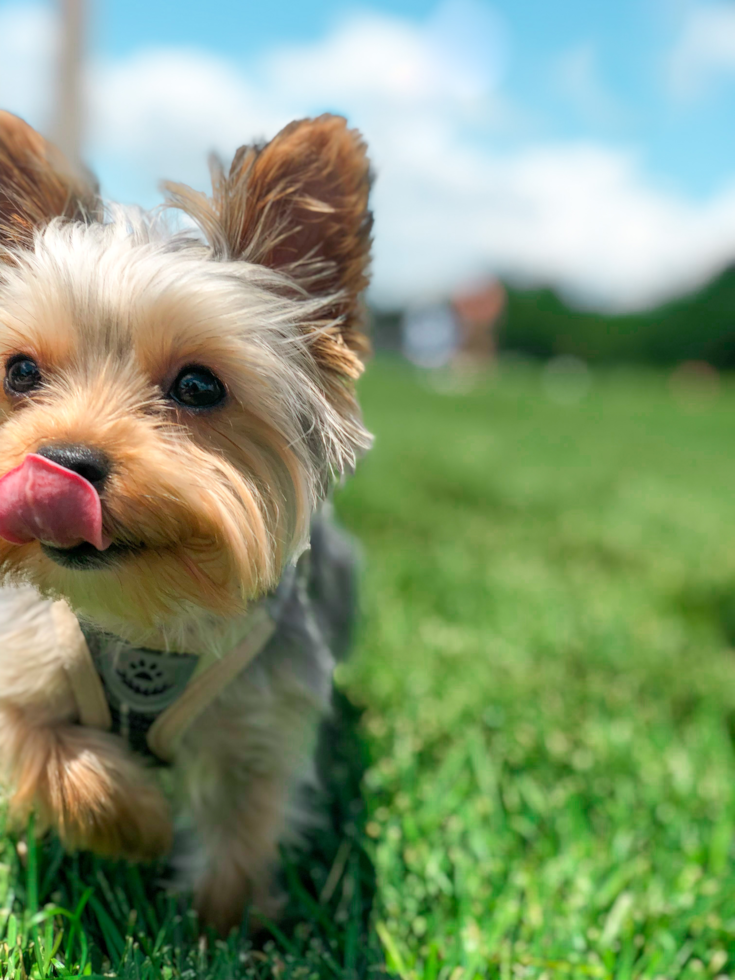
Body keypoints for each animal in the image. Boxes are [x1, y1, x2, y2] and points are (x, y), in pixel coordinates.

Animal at [0, 111, 374, 932]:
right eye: (19, 372)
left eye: (199, 386)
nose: (62, 462)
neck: (147, 619)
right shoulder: (21, 653)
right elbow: (53, 754)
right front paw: (138, 822)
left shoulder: (262, 723)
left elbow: (241, 830)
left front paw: (218, 931)